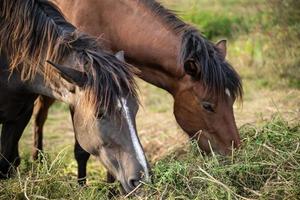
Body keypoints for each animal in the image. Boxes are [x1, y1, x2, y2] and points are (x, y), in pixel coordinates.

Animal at [33, 0, 244, 184]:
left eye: (232, 100)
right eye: (207, 105)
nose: (235, 153)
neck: (109, 18)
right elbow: (83, 150)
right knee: (39, 116)